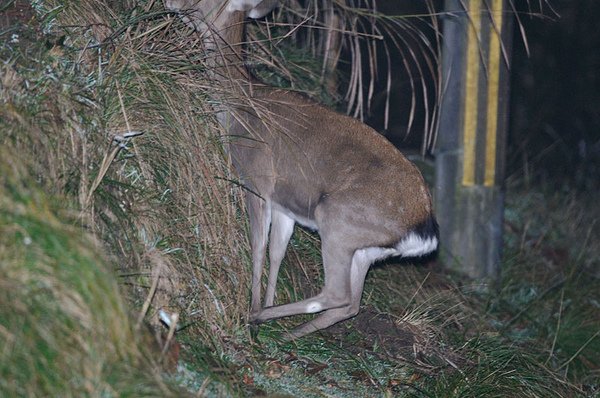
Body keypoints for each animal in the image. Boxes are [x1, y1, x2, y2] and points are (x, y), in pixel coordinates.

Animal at [166, 0, 438, 338]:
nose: (171, 5)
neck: (241, 104)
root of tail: (423, 225)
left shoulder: (257, 179)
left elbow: (257, 245)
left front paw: (254, 305)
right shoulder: (286, 206)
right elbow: (277, 252)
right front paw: (267, 301)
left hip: (338, 221)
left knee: (337, 294)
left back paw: (260, 317)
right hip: (367, 250)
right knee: (350, 304)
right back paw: (287, 331)